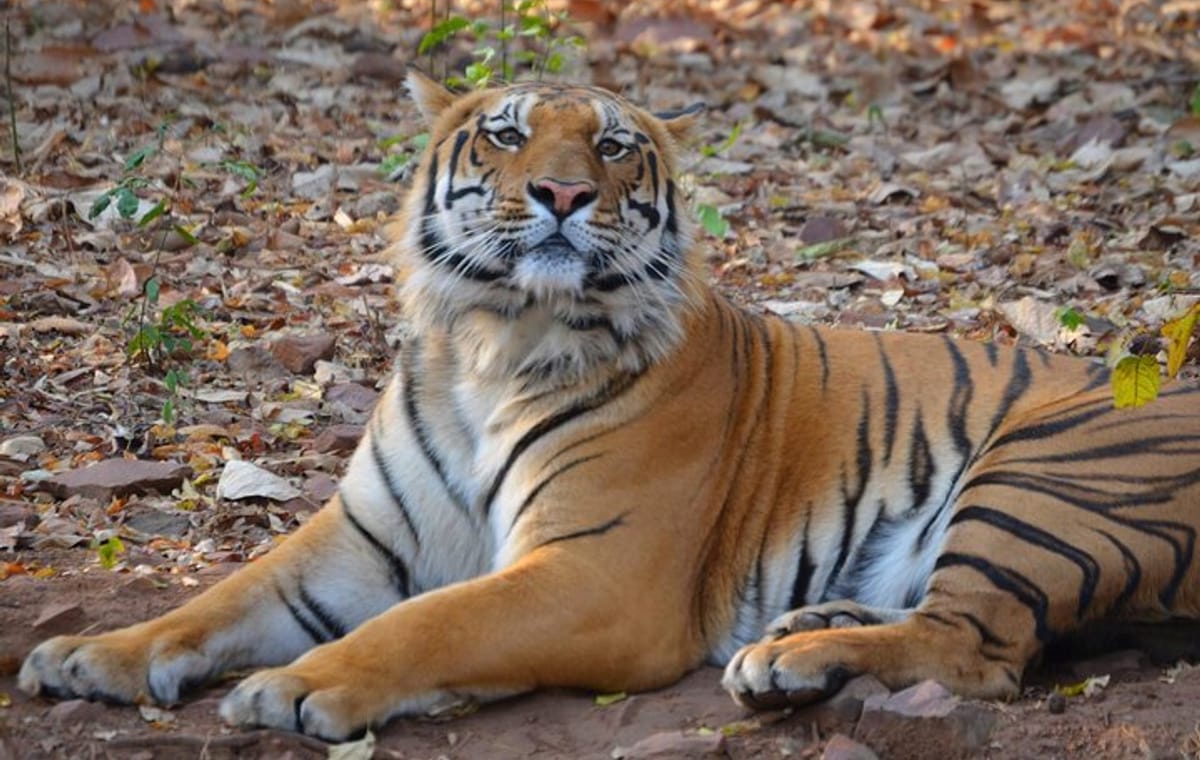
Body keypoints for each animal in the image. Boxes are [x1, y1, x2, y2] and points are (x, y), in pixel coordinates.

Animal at [19, 71, 1200, 742]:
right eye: (504, 135)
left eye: (615, 145)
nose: (563, 193)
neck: (492, 340)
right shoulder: (356, 540)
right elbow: (215, 600)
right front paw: (90, 659)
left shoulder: (597, 572)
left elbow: (433, 619)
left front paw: (305, 688)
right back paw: (810, 629)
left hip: (1045, 469)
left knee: (981, 649)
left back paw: (790, 663)